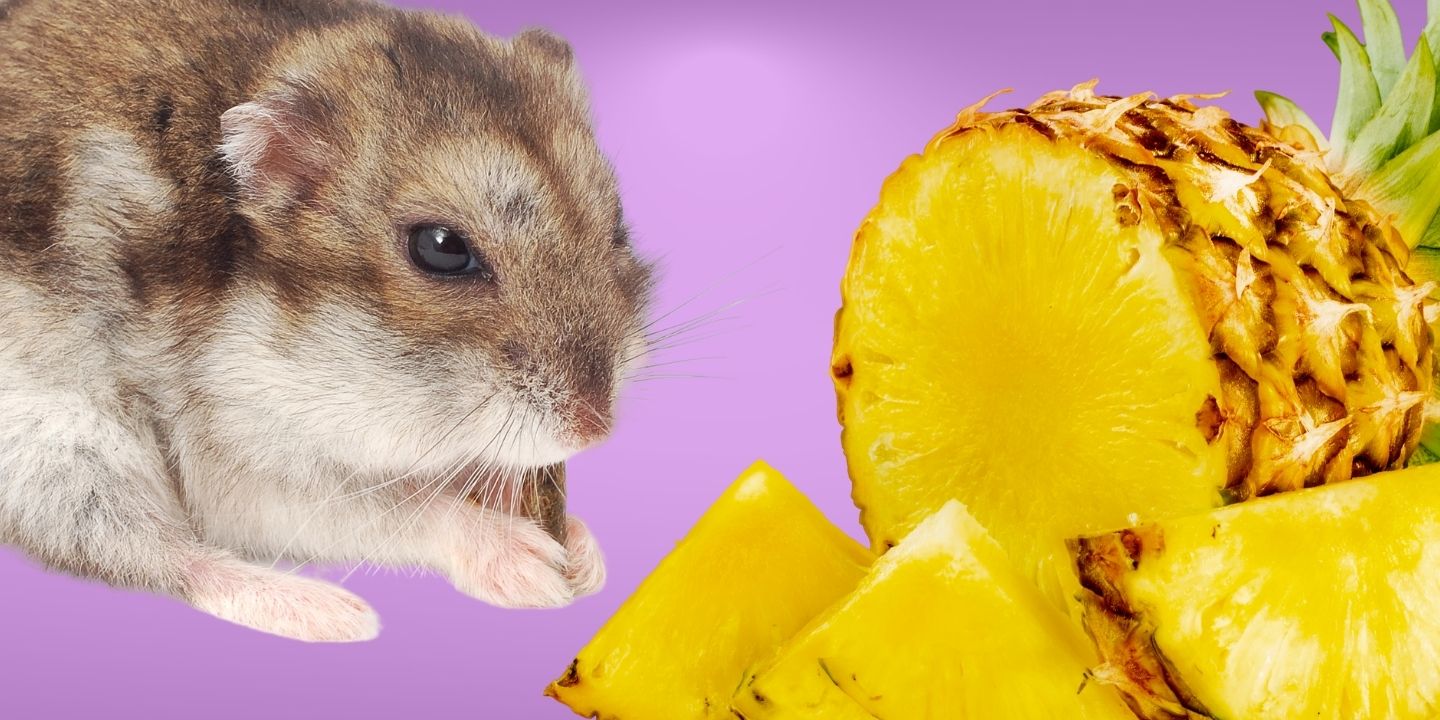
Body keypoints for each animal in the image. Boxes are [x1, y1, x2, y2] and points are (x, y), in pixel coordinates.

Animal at [0, 0, 652, 642]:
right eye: (440, 248)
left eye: (618, 224)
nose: (595, 431)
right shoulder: (239, 462)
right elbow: (391, 507)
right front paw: (538, 565)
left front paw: (584, 556)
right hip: (66, 449)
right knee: (161, 557)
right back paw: (337, 614)